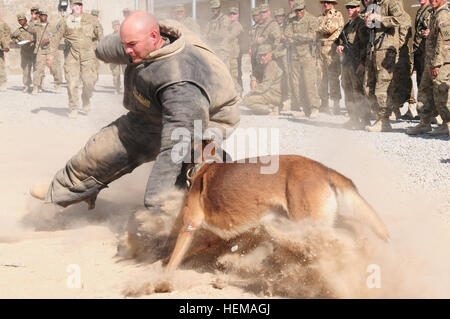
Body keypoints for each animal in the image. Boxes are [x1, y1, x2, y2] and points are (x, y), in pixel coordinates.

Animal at [165, 155, 390, 272]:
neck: (202, 168)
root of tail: (323, 169)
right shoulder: (212, 238)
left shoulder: (189, 227)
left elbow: (173, 260)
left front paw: (163, 279)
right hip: (320, 220)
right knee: (351, 225)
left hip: (307, 222)